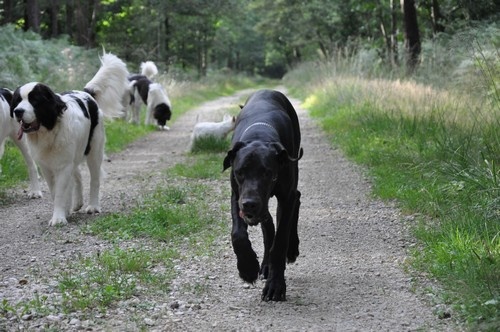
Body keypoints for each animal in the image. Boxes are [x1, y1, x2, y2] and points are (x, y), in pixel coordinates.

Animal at [11, 53, 129, 226]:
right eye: (18, 100)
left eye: (35, 101)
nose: (18, 111)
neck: (49, 131)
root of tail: (86, 93)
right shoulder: (47, 167)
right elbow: (55, 191)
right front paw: (62, 212)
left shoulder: (63, 165)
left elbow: (61, 192)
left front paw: (58, 218)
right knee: (77, 176)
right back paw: (77, 203)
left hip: (94, 150)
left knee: (94, 179)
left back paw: (93, 206)